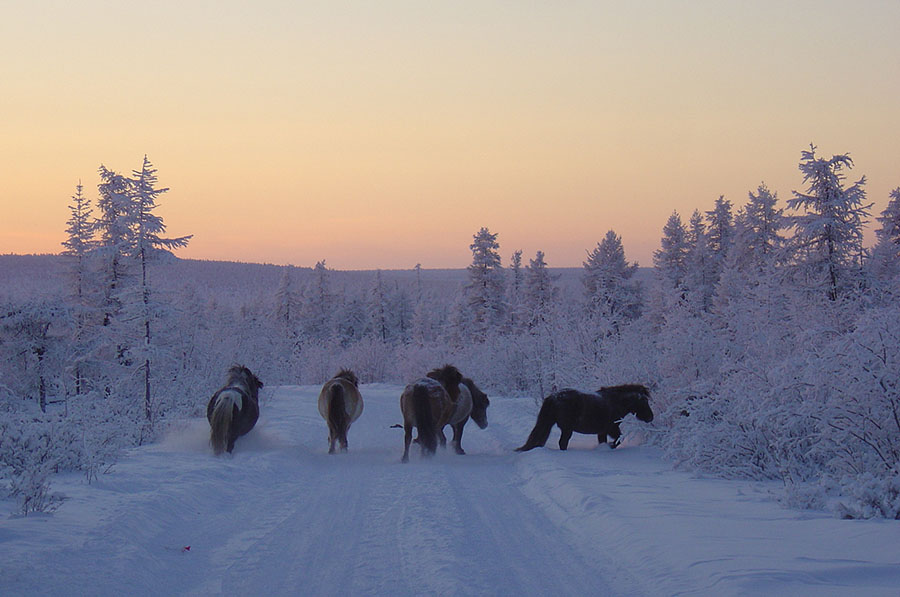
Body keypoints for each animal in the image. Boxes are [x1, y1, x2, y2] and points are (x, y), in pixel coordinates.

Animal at [512, 382, 652, 452]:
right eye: (644, 401)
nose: (651, 417)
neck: (615, 402)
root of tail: (554, 397)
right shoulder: (611, 429)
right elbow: (618, 440)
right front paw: (609, 447)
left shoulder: (602, 431)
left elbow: (605, 441)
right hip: (567, 429)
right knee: (562, 443)